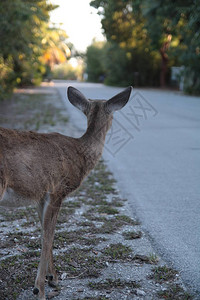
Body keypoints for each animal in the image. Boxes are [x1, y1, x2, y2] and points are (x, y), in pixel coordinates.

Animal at [0, 85, 132, 298]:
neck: (81, 153)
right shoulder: (57, 190)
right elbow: (49, 236)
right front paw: (40, 289)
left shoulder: (41, 196)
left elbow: (45, 232)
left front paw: (52, 278)